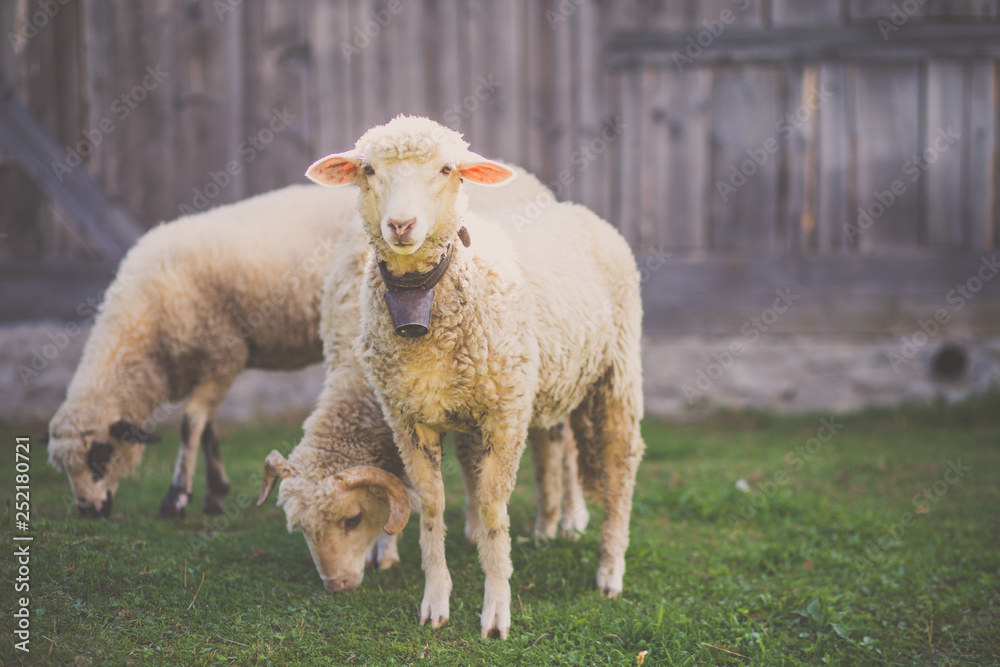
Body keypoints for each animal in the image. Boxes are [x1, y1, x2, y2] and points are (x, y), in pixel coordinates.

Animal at [305, 115, 645, 639]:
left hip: (618, 375)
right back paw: (551, 528)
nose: (401, 225)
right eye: (367, 169)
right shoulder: (407, 418)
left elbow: (490, 508)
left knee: (621, 466)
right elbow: (431, 505)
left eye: (448, 169)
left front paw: (496, 612)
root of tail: (580, 211)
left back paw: (610, 570)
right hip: (555, 381)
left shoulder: (503, 414)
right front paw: (435, 603)